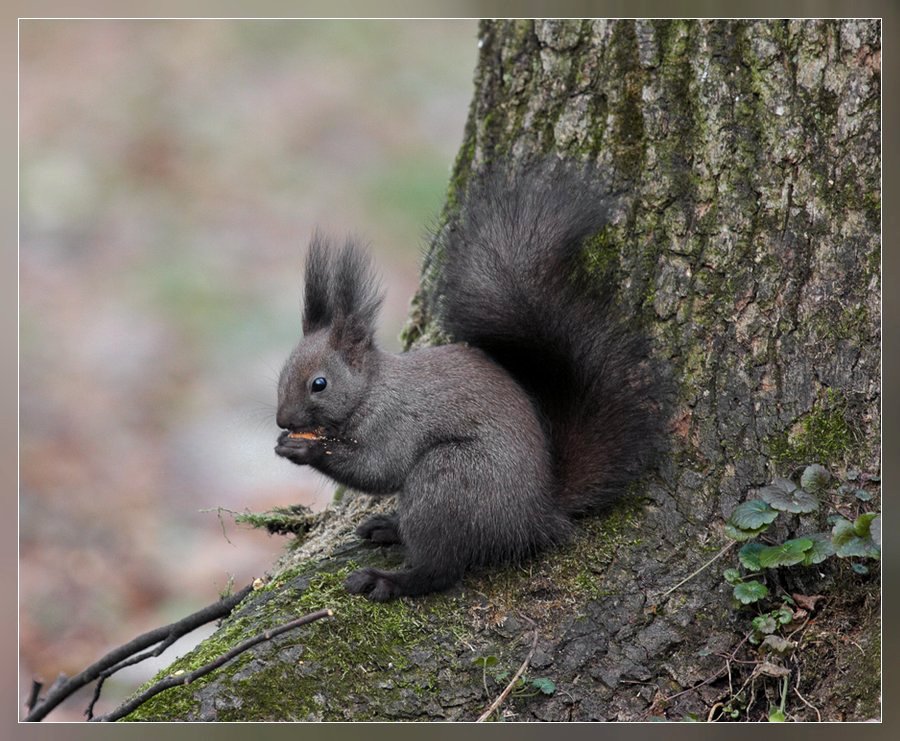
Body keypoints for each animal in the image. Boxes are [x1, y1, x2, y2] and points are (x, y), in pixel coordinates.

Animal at [274, 162, 668, 600]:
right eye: (283, 372)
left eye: (319, 384)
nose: (282, 420)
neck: (373, 390)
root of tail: (533, 517)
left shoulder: (396, 422)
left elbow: (379, 468)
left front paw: (304, 450)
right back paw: (388, 526)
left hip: (449, 481)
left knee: (439, 569)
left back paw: (388, 579)